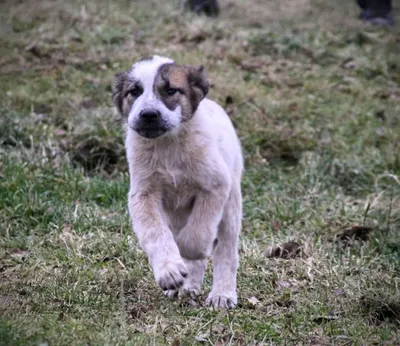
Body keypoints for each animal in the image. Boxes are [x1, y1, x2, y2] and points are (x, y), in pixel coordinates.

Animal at [112, 56, 244, 308]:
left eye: (171, 90)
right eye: (134, 91)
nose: (149, 114)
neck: (168, 145)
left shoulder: (216, 185)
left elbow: (197, 234)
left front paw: (189, 250)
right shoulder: (143, 195)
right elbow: (156, 233)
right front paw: (170, 271)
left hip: (231, 207)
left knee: (226, 251)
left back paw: (222, 294)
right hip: (175, 213)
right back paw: (187, 286)